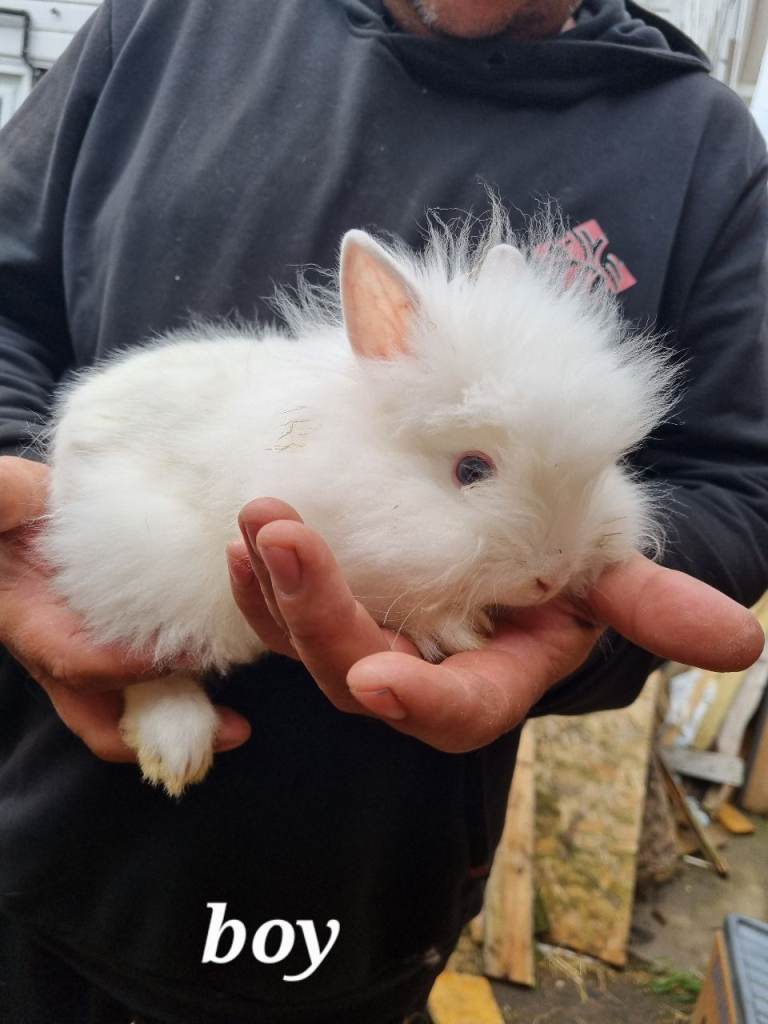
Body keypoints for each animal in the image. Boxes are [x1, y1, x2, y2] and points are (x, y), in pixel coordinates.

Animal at [40, 205, 676, 796]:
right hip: (137, 554)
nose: (553, 575)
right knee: (142, 648)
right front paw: (456, 631)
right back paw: (177, 749)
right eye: (471, 470)